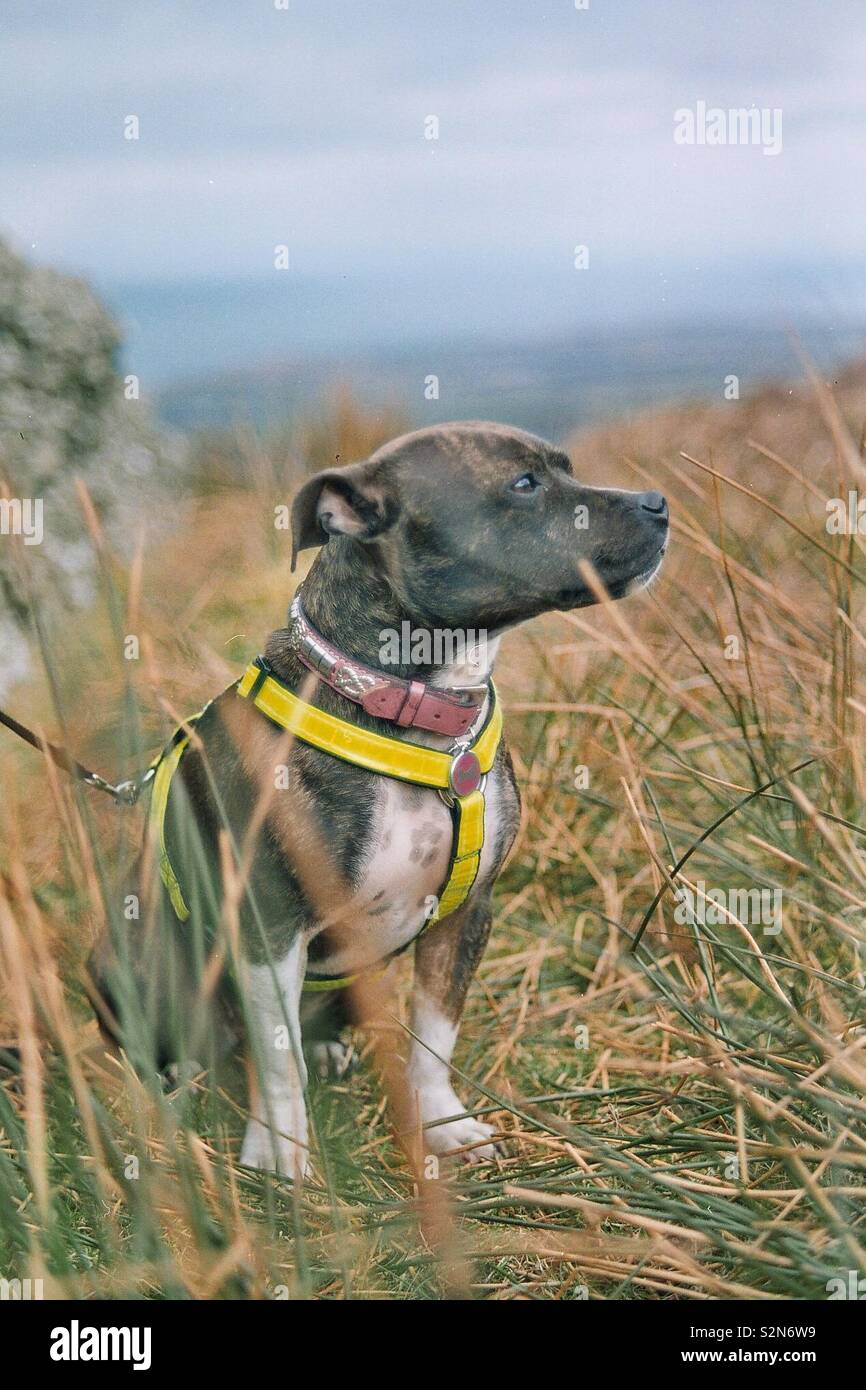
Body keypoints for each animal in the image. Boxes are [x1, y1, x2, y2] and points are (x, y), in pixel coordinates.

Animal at [89, 419, 670, 1173]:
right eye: (524, 484)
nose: (658, 502)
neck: (410, 707)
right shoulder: (267, 928)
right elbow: (279, 1066)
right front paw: (279, 1155)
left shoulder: (465, 916)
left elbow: (435, 1035)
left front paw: (441, 1122)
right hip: (131, 957)